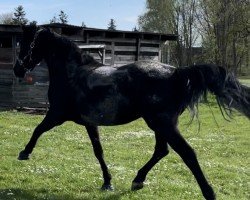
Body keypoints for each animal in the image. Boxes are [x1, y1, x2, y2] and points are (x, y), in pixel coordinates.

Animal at [13, 25, 250, 199]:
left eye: (25, 44)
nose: (17, 70)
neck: (72, 73)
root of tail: (177, 73)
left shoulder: (56, 115)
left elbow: (38, 130)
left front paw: (24, 153)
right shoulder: (90, 122)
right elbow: (98, 151)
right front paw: (107, 183)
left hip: (162, 124)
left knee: (187, 153)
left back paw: (209, 192)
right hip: (160, 125)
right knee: (162, 151)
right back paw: (137, 181)